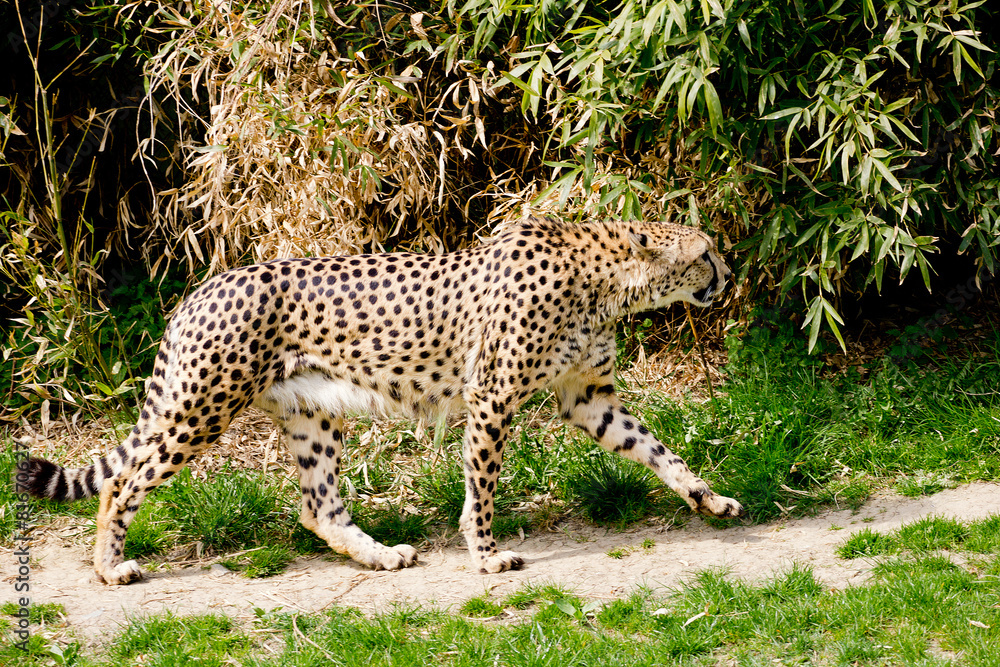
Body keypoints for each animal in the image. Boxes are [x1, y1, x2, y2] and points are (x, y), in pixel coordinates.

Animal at [24, 214, 743, 584]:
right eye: (707, 253)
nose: (729, 274)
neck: (605, 276)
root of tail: (200, 288)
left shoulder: (587, 396)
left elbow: (657, 450)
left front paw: (709, 498)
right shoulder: (492, 393)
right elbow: (482, 484)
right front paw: (485, 553)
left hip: (311, 412)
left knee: (317, 506)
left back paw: (380, 554)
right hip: (202, 406)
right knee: (123, 483)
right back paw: (109, 567)